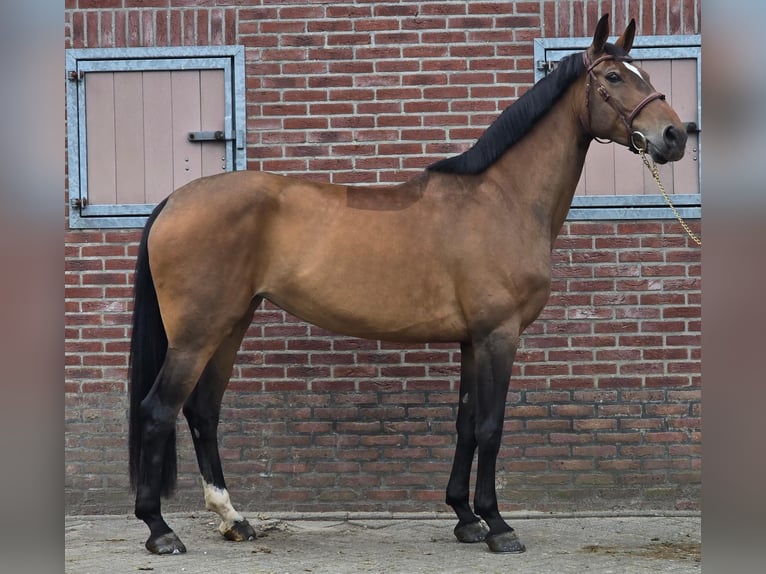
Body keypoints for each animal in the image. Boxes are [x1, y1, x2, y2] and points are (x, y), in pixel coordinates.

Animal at [128, 14, 687, 555]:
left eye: (646, 73)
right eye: (613, 77)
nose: (675, 136)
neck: (503, 199)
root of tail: (174, 201)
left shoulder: (472, 340)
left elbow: (466, 424)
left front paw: (465, 518)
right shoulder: (499, 335)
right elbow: (491, 426)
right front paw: (498, 524)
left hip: (231, 323)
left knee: (202, 411)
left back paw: (233, 519)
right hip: (197, 334)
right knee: (158, 410)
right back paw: (159, 530)